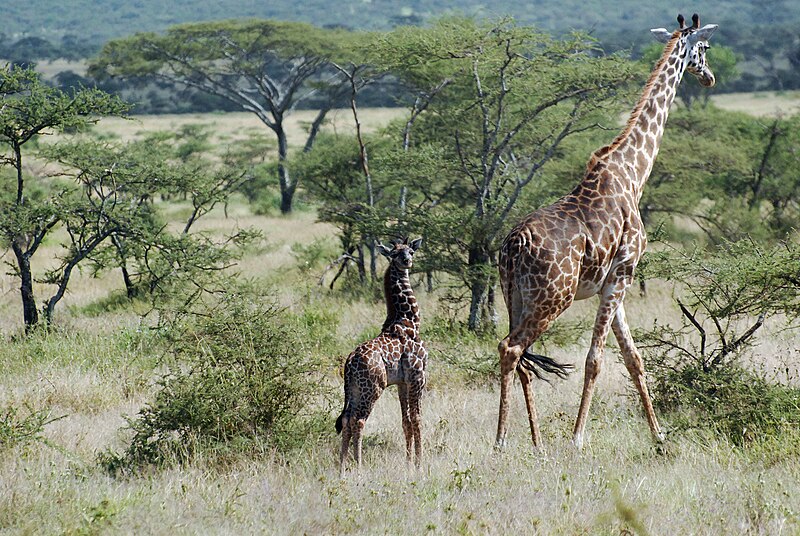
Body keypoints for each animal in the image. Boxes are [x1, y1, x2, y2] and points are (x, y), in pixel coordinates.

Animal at [336, 237, 428, 476]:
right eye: (394, 254)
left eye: (411, 250)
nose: (406, 261)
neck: (409, 320)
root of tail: (349, 363)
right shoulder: (418, 376)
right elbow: (418, 418)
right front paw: (419, 464)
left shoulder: (402, 382)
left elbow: (406, 421)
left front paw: (408, 463)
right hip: (373, 388)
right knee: (358, 421)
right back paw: (358, 467)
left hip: (355, 389)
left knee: (346, 419)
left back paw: (341, 468)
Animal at [496, 12, 716, 450]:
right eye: (704, 48)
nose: (709, 78)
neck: (633, 172)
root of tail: (513, 247)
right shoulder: (624, 272)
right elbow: (596, 360)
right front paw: (578, 438)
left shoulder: (612, 281)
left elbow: (633, 358)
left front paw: (659, 436)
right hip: (553, 296)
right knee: (511, 349)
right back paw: (501, 442)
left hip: (516, 296)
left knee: (521, 359)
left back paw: (536, 442)